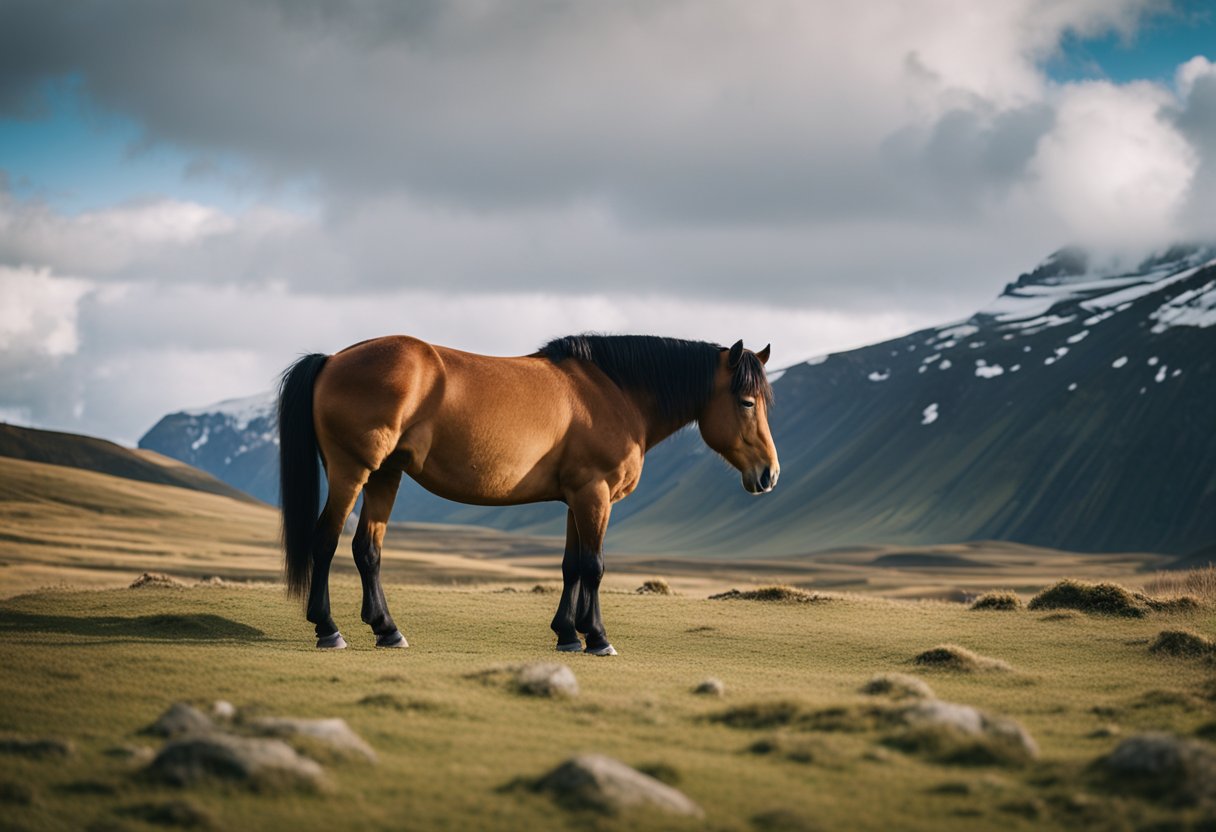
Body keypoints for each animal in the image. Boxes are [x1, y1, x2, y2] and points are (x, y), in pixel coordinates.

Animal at [276, 335, 778, 651]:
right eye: (746, 401)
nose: (770, 474)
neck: (614, 392)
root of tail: (333, 358)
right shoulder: (594, 495)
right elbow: (594, 567)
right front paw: (597, 637)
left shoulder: (578, 499)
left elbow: (572, 566)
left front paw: (568, 635)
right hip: (352, 472)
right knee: (325, 542)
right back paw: (327, 629)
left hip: (384, 475)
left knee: (368, 550)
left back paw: (387, 629)